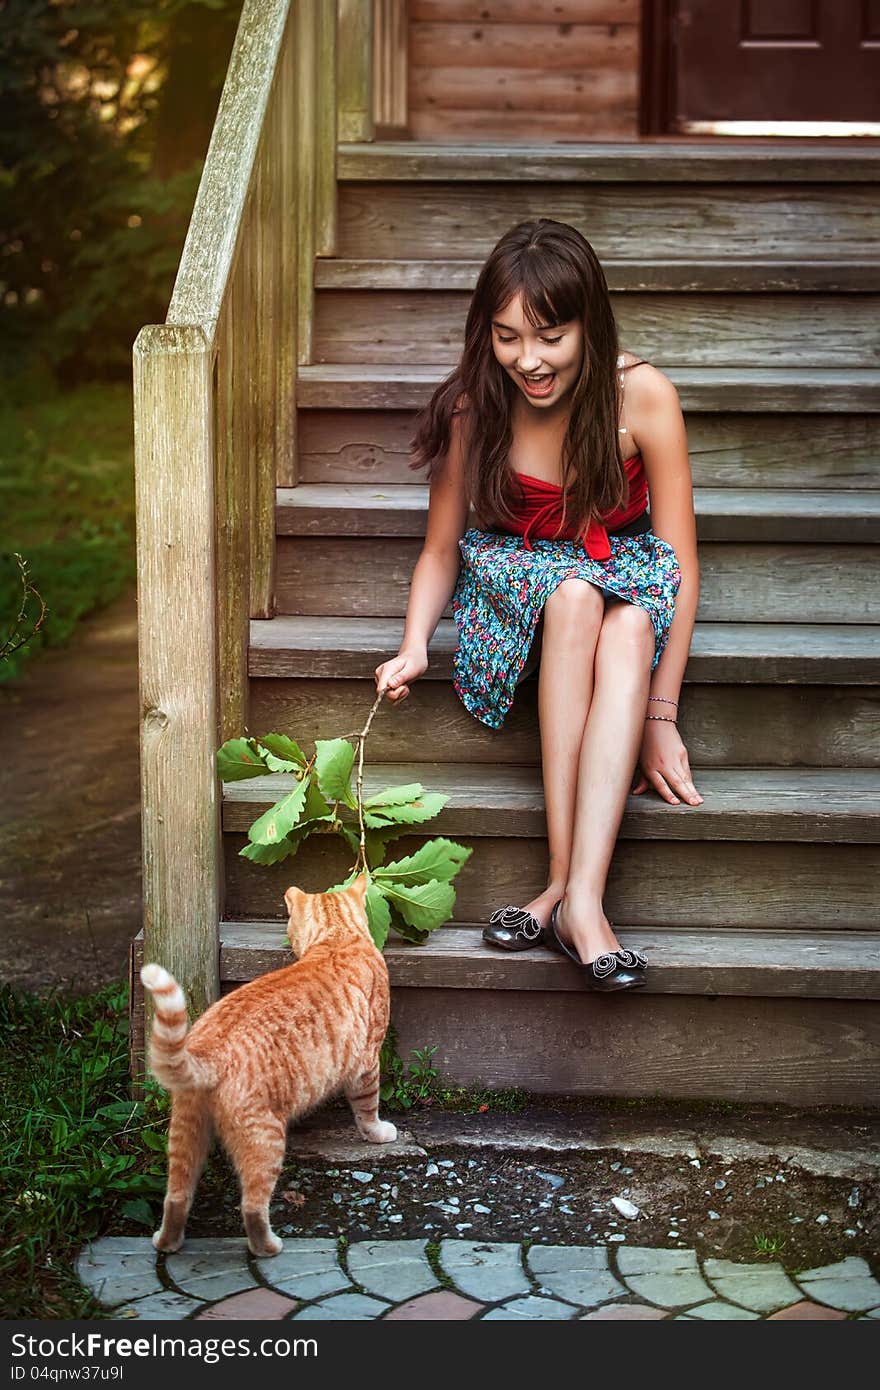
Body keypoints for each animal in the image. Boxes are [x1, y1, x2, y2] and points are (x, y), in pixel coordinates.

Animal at [139, 867, 394, 1262]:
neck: (338, 939)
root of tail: (207, 1049)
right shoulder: (367, 1062)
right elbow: (368, 1109)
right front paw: (378, 1132)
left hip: (185, 1133)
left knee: (176, 1196)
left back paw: (167, 1242)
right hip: (265, 1138)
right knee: (251, 1205)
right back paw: (268, 1247)